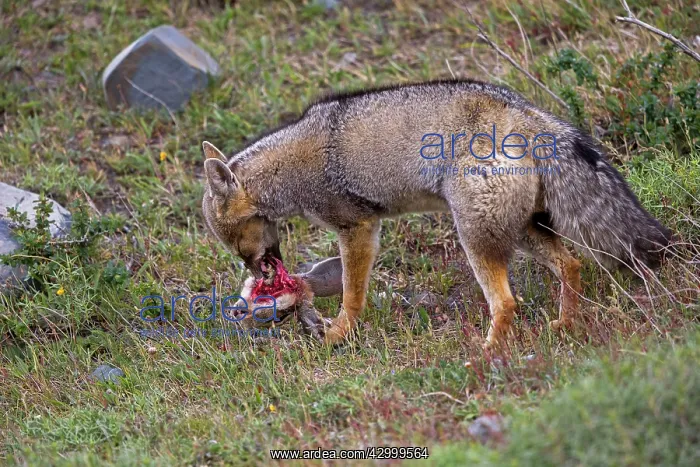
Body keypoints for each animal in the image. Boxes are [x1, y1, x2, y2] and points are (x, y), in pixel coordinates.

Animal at [201, 79, 672, 348]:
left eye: (236, 242)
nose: (259, 274)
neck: (289, 169)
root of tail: (525, 112)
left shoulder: (358, 228)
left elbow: (352, 294)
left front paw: (337, 334)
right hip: (521, 231)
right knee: (570, 264)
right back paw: (565, 324)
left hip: (475, 236)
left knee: (507, 302)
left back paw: (486, 355)